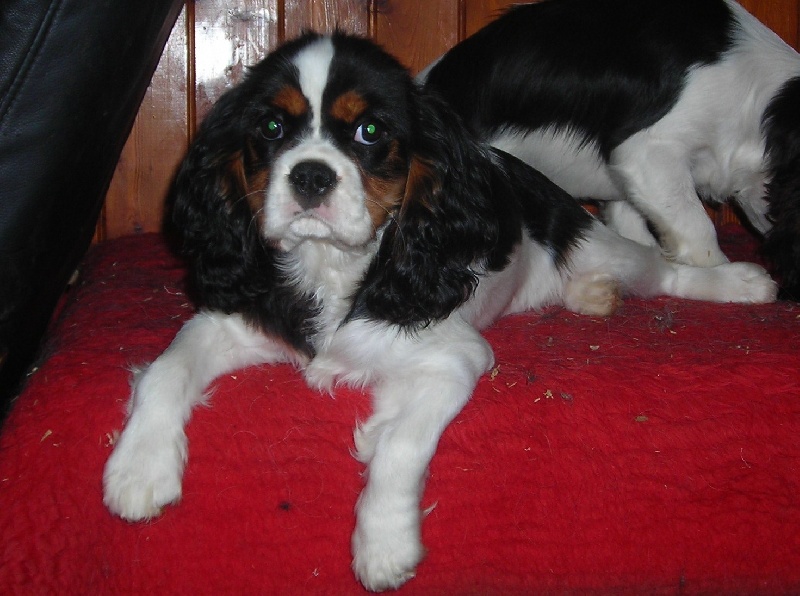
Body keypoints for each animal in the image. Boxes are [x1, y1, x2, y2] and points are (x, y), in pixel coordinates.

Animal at [102, 32, 777, 591]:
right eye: (270, 127)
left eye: (371, 133)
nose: (311, 176)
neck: (332, 265)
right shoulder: (232, 318)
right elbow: (166, 369)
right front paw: (138, 470)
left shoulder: (454, 356)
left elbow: (402, 445)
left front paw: (384, 545)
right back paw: (591, 296)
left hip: (592, 239)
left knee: (662, 267)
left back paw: (737, 282)